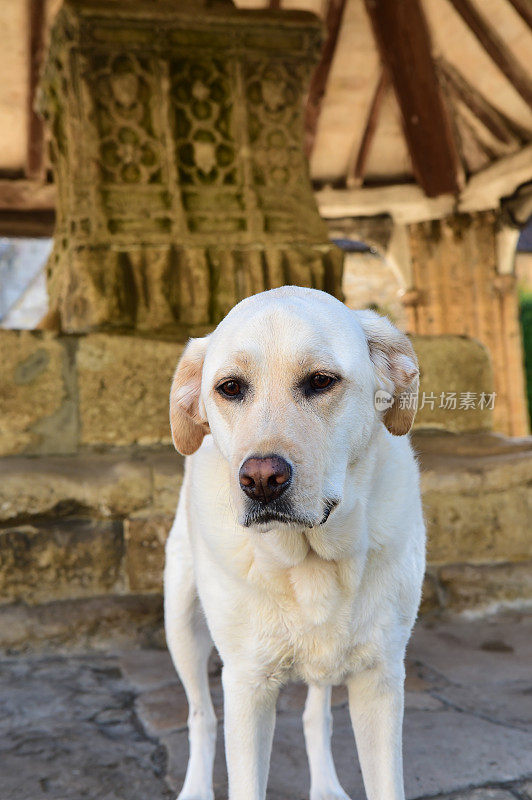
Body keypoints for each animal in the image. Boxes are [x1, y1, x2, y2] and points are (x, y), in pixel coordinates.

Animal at [164, 286, 426, 800]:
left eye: (321, 381)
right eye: (230, 388)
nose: (261, 479)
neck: (308, 556)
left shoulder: (381, 679)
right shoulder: (246, 686)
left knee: (315, 713)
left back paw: (325, 786)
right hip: (181, 621)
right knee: (201, 716)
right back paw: (196, 787)